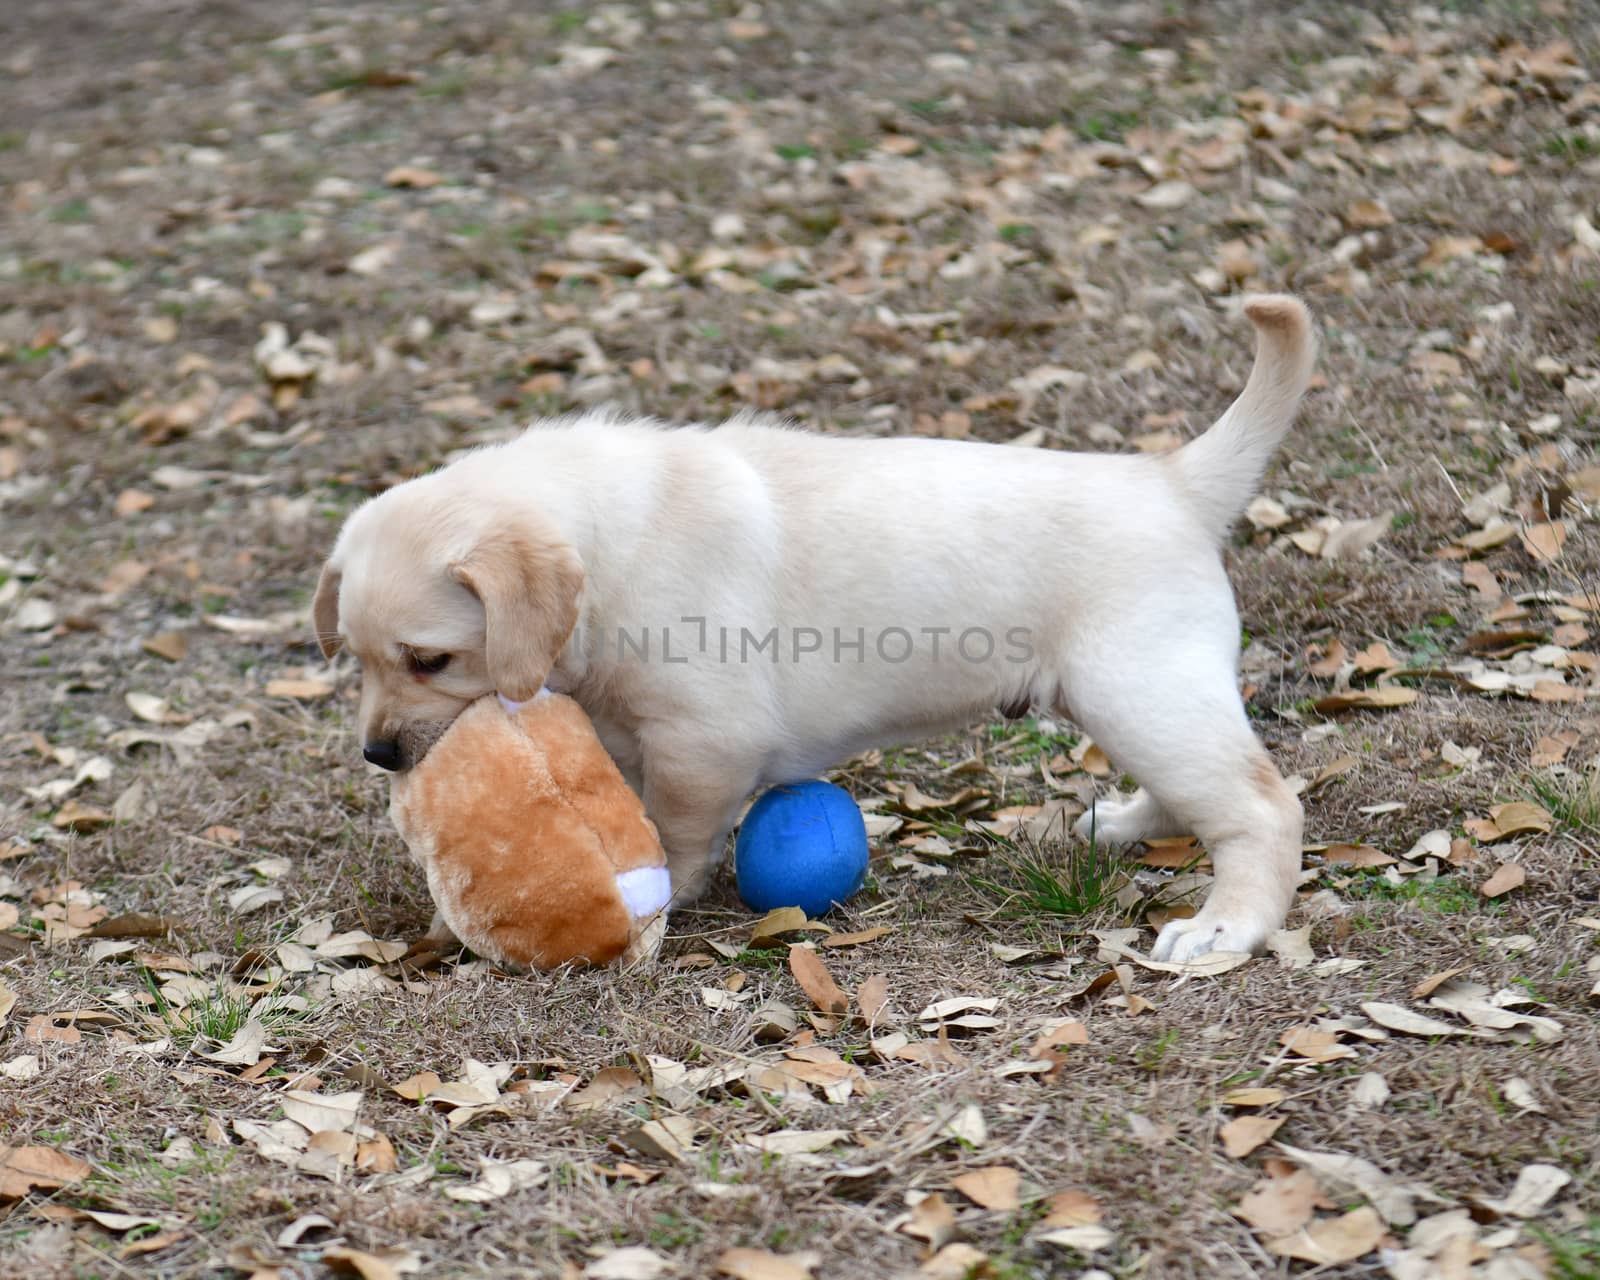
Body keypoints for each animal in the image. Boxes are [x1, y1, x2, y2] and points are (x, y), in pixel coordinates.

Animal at [312, 294, 1312, 953]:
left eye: (431, 661)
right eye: (356, 661)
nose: (378, 756)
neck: (608, 544)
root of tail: (1174, 479)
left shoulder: (702, 739)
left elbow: (673, 831)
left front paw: (658, 899)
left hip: (1140, 688)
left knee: (1261, 804)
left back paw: (1226, 927)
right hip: (1134, 702)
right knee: (1194, 789)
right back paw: (1116, 826)